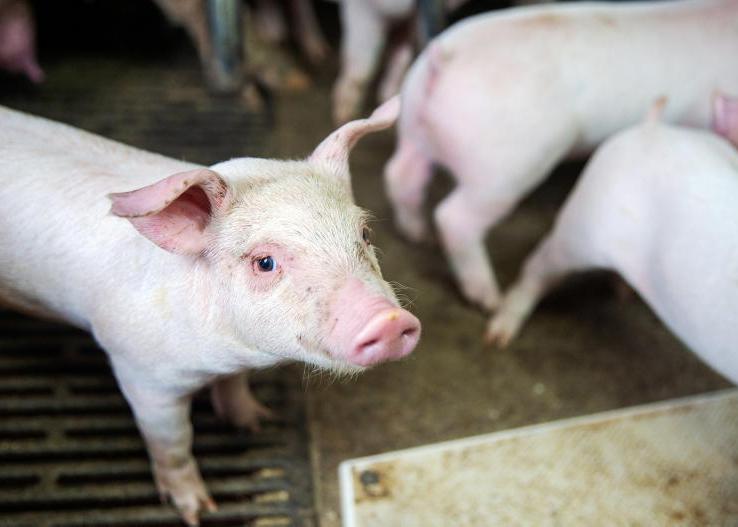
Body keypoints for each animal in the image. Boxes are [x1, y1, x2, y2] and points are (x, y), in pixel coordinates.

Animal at [0, 96, 420, 525]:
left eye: (365, 234)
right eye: (265, 262)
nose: (388, 320)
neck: (224, 354)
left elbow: (235, 387)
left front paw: (257, 423)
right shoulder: (140, 374)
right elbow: (173, 443)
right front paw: (198, 511)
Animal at [384, 0, 738, 312]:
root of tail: (442, 59)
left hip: (413, 123)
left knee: (400, 174)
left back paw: (416, 234)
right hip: (506, 166)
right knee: (453, 217)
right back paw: (489, 298)